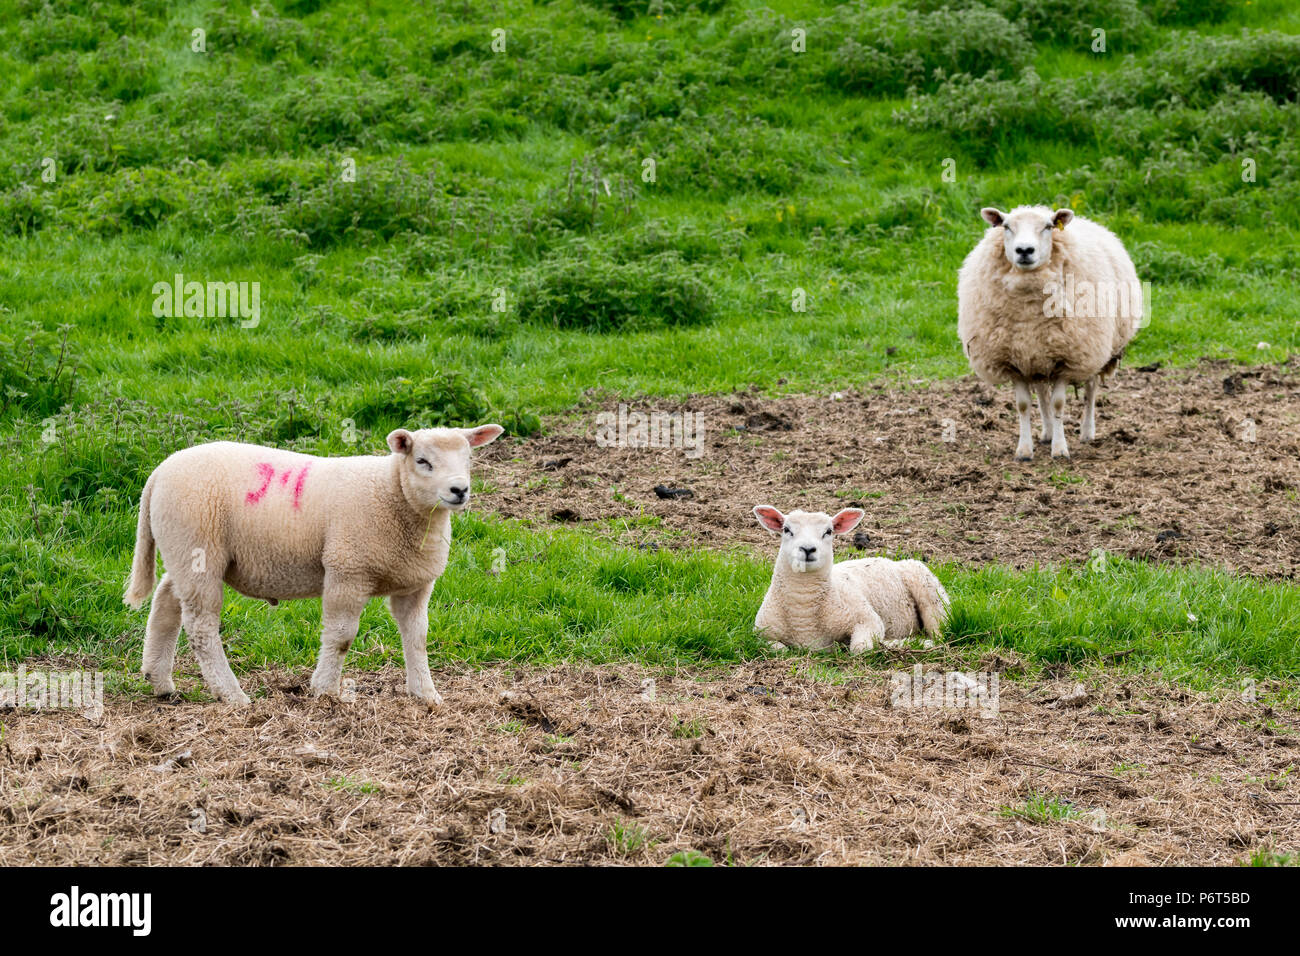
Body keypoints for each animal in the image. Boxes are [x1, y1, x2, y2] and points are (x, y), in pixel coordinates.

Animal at [123, 424, 504, 706]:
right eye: (423, 461)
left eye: (468, 458)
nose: (459, 490)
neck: (393, 492)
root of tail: (159, 472)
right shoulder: (347, 571)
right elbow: (341, 637)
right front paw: (325, 691)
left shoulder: (415, 584)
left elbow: (418, 637)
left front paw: (425, 694)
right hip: (197, 548)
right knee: (201, 627)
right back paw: (233, 696)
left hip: (185, 553)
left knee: (166, 600)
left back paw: (159, 680)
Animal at [752, 506, 949, 654]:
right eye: (787, 530)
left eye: (828, 531)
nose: (808, 549)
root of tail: (891, 560)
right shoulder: (760, 633)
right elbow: (778, 649)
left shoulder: (868, 619)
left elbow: (860, 648)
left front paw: (893, 643)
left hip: (932, 596)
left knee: (941, 635)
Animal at [957, 205, 1142, 460]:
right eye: (1006, 226)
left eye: (1048, 226)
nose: (1024, 250)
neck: (1027, 309)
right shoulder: (1013, 361)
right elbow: (1024, 405)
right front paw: (1024, 450)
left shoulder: (1068, 358)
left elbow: (1058, 404)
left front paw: (1060, 449)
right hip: (1037, 356)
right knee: (1042, 391)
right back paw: (1046, 432)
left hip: (1092, 350)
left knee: (1090, 389)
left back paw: (1087, 432)